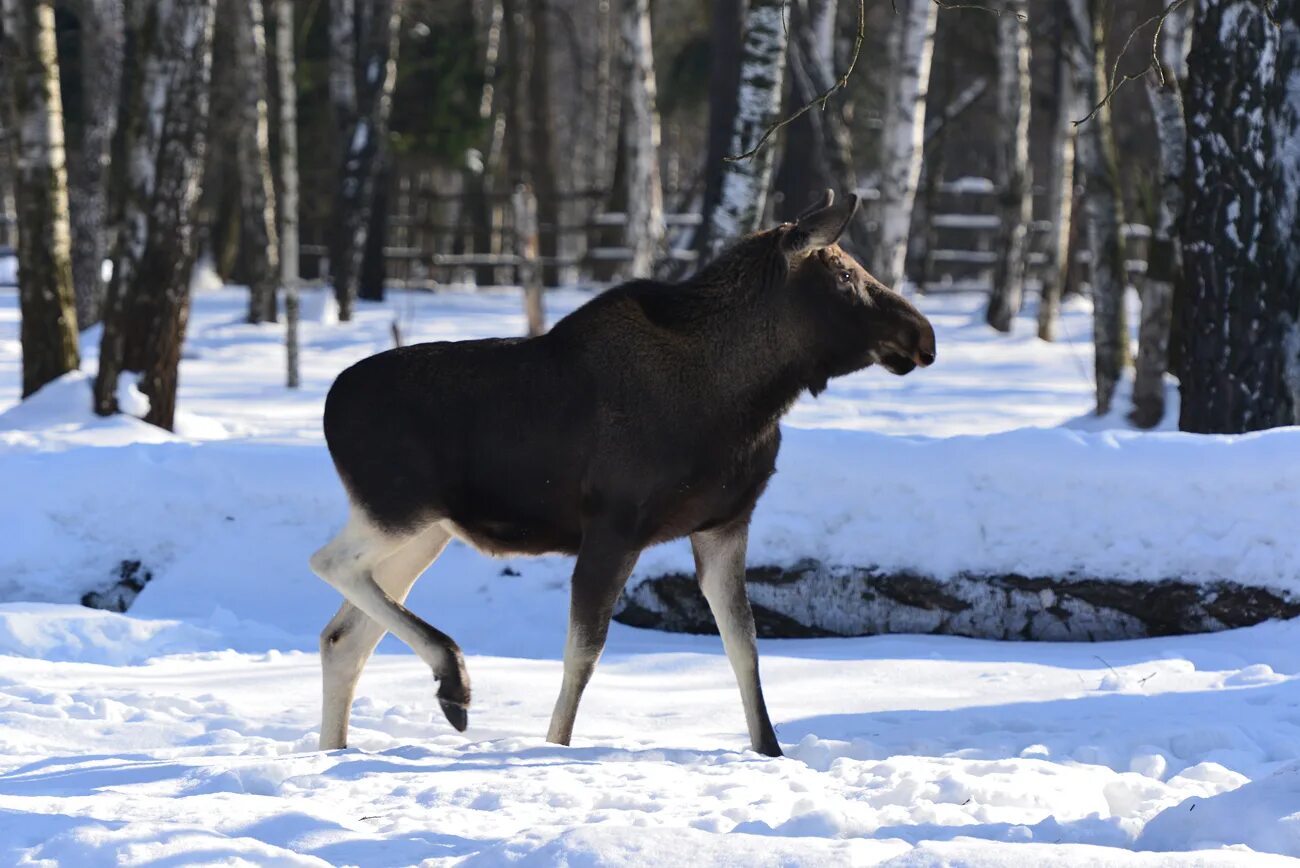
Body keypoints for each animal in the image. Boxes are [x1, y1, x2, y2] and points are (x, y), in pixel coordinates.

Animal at [313, 188, 935, 753]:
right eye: (846, 275)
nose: (922, 335)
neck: (749, 401)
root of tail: (328, 404)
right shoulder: (615, 526)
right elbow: (584, 654)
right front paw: (555, 746)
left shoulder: (724, 524)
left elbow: (744, 645)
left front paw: (771, 751)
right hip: (397, 510)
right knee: (329, 564)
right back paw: (452, 680)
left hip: (425, 532)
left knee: (344, 636)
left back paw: (339, 748)